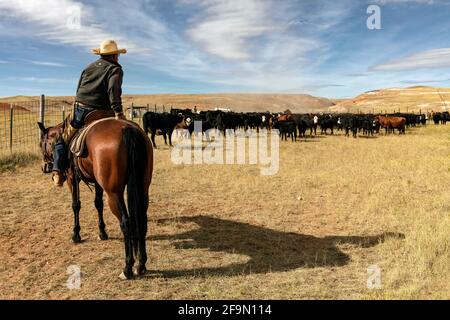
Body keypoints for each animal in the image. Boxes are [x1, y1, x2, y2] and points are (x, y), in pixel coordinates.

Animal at [37, 119, 153, 278]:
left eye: (41, 143)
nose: (44, 167)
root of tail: (127, 129)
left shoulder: (72, 178)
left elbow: (76, 205)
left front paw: (76, 234)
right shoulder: (97, 183)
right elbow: (98, 204)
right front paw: (102, 232)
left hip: (114, 194)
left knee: (126, 223)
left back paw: (127, 268)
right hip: (143, 188)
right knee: (141, 219)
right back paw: (141, 264)